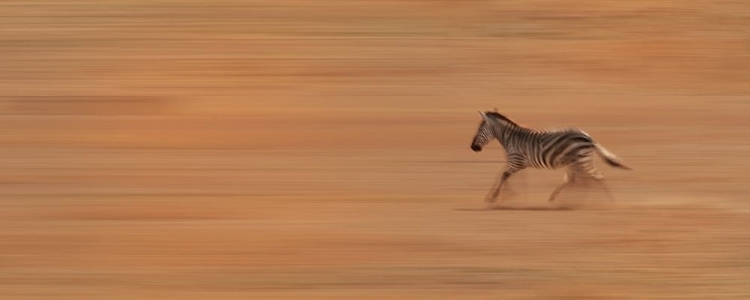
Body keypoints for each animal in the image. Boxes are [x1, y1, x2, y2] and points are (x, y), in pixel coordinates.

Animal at [472, 110, 632, 204]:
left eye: (480, 129)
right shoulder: (515, 162)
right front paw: (500, 195)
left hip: (581, 160)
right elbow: (501, 176)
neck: (511, 138)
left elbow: (504, 175)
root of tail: (588, 136)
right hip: (575, 161)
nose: (473, 147)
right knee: (574, 180)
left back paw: (608, 201)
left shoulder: (517, 162)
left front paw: (494, 197)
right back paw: (557, 198)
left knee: (596, 177)